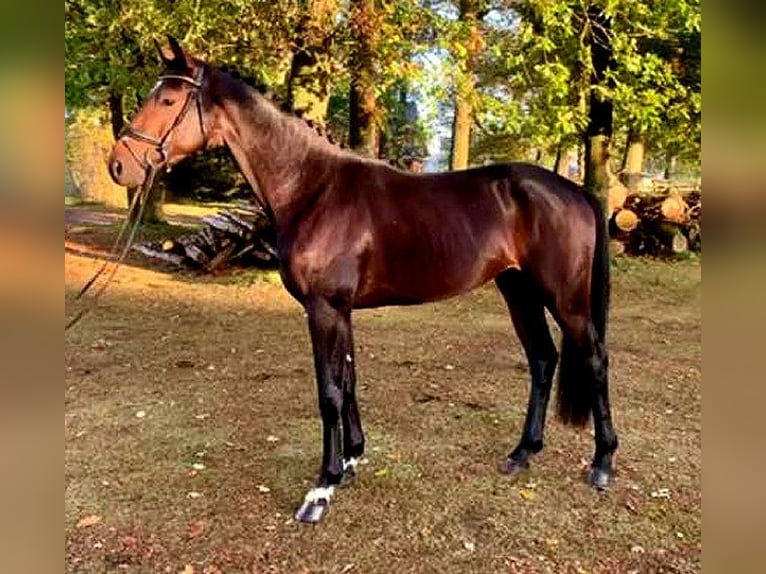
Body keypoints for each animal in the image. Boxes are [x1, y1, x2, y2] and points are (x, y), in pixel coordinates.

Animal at [108, 37, 620, 528]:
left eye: (168, 98)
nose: (118, 165)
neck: (312, 189)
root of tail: (574, 190)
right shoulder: (342, 310)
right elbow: (349, 381)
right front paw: (352, 459)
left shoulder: (324, 309)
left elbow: (329, 392)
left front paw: (322, 488)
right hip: (518, 290)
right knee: (543, 359)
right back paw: (522, 453)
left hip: (565, 299)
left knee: (594, 359)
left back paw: (602, 463)